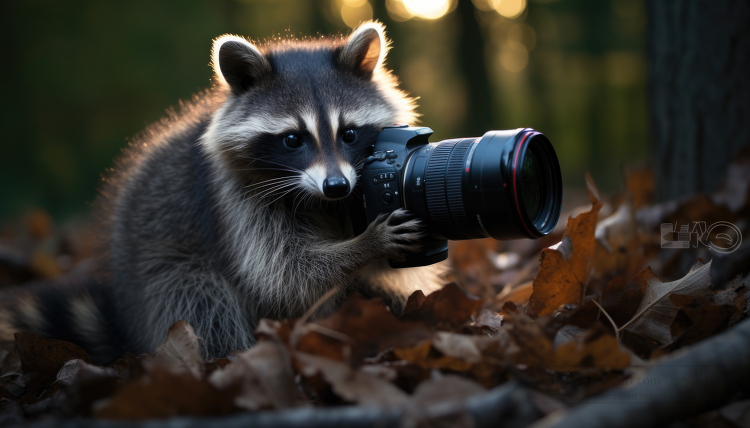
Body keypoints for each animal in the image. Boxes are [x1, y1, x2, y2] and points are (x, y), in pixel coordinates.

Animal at [0, 22, 446, 364]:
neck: (321, 200)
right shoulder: (232, 198)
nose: (337, 186)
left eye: (350, 134)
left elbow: (378, 273)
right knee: (203, 302)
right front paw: (363, 244)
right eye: (292, 139)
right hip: (161, 273)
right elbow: (282, 274)